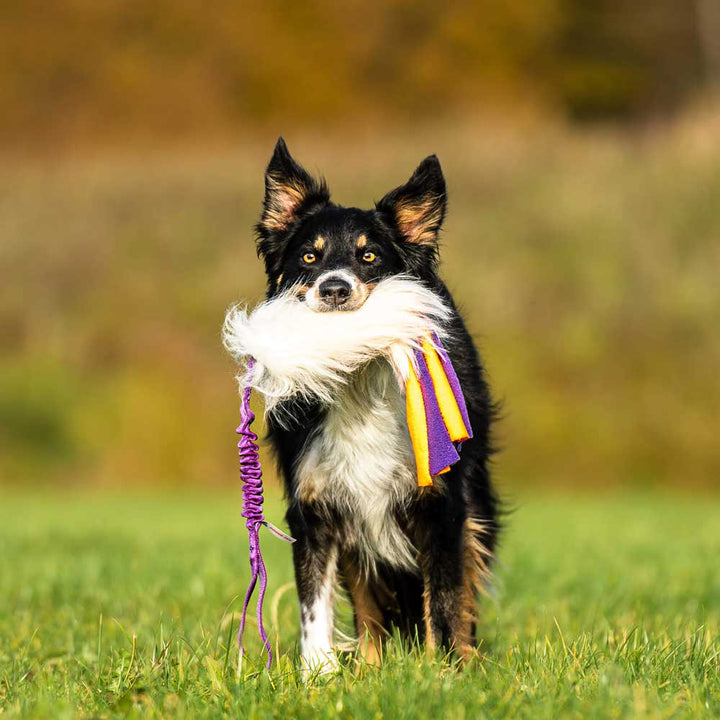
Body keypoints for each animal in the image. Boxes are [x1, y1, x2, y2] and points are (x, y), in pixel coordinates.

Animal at [250, 139, 498, 668]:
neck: (358, 380)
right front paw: (317, 674)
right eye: (309, 256)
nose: (334, 289)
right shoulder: (315, 503)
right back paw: (369, 664)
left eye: (368, 255)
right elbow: (315, 603)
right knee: (367, 604)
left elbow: (444, 597)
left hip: (476, 503)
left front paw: (444, 670)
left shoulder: (441, 502)